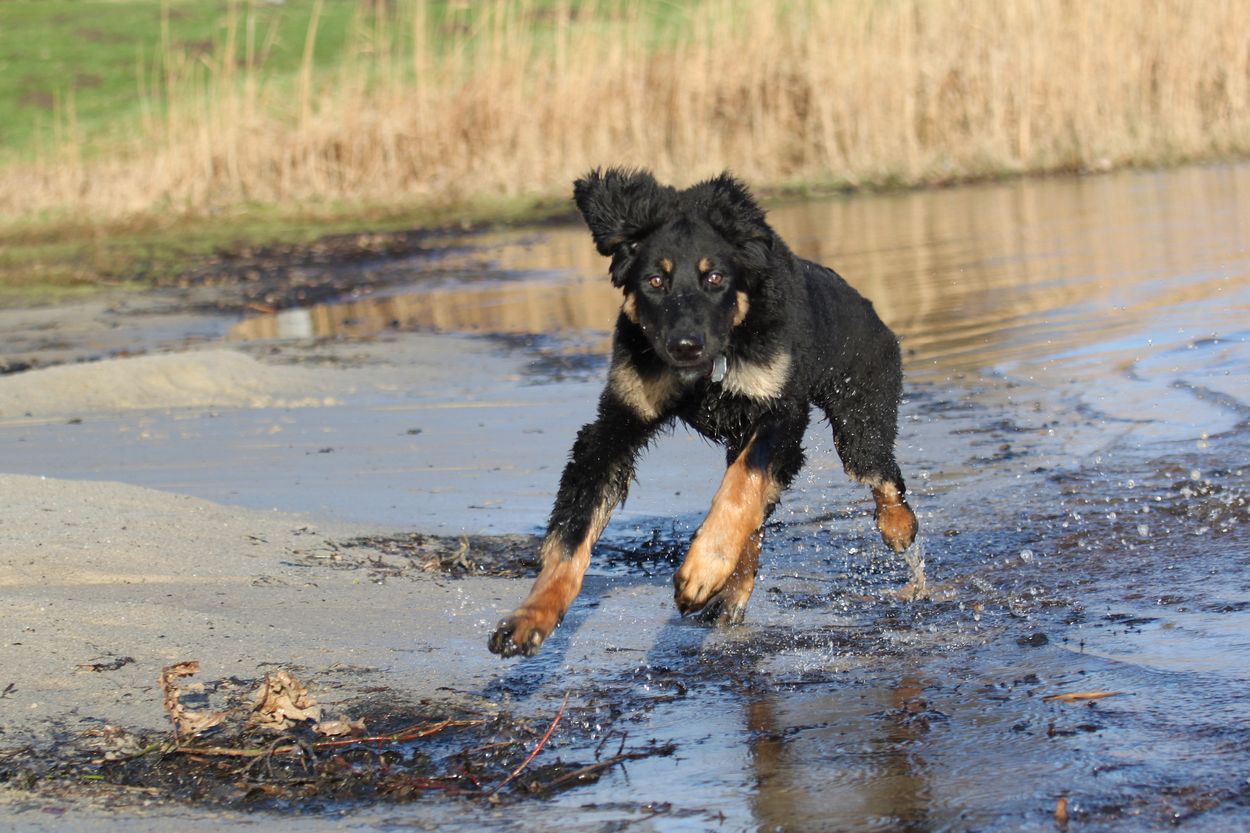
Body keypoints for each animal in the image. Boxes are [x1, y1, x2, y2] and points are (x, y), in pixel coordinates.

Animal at [487, 168, 918, 658]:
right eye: (655, 281)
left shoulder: (779, 414)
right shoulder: (616, 425)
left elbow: (741, 487)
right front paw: (531, 617)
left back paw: (898, 527)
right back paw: (732, 592)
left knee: (881, 475)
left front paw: (702, 569)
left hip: (859, 425)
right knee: (757, 522)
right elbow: (572, 534)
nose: (684, 346)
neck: (711, 369)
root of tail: (867, 306)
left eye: (714, 278)